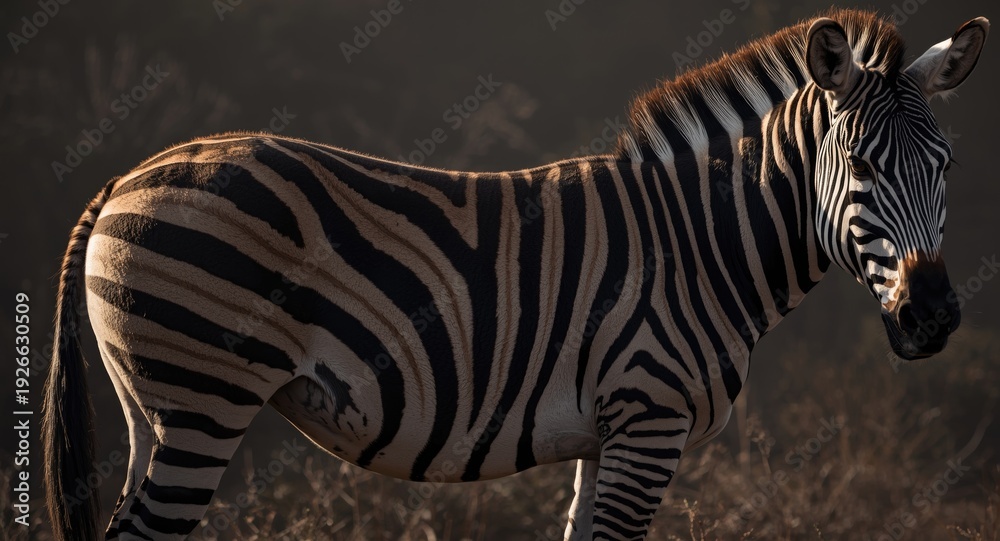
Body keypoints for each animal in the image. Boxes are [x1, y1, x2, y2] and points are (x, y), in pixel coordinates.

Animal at [41, 9, 987, 541]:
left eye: (945, 167)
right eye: (861, 167)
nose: (934, 317)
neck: (701, 246)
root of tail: (122, 178)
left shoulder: (608, 431)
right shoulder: (649, 419)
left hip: (151, 409)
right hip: (201, 401)